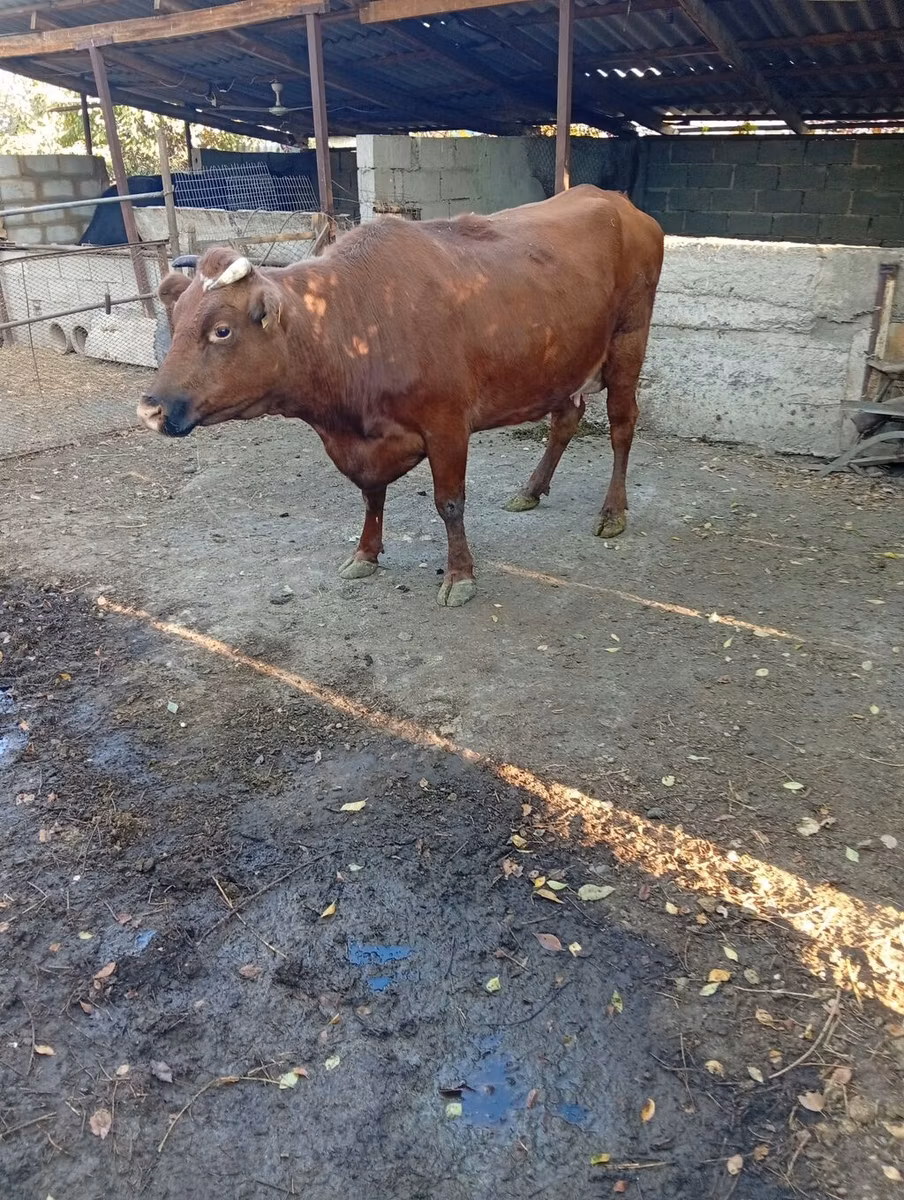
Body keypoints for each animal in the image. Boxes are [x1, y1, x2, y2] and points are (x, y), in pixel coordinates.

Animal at [138, 185, 664, 607]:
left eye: (221, 330)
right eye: (176, 319)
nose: (150, 408)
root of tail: (616, 201)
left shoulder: (447, 423)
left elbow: (449, 503)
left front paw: (459, 576)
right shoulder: (366, 441)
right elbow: (371, 494)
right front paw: (365, 554)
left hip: (628, 343)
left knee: (622, 426)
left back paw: (612, 512)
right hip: (563, 362)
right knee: (565, 421)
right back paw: (531, 490)